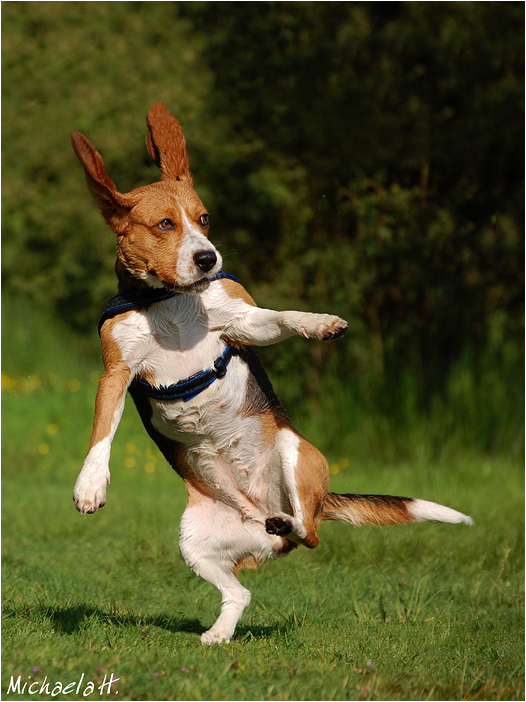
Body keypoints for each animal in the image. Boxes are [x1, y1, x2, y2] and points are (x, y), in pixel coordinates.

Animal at [71, 102, 474, 648]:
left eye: (204, 219)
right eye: (163, 224)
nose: (208, 257)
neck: (168, 300)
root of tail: (256, 509)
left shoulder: (242, 323)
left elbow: (280, 317)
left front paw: (319, 323)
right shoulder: (117, 372)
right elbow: (101, 433)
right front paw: (91, 485)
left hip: (295, 453)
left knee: (312, 536)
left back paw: (288, 523)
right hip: (194, 542)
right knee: (242, 590)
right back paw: (221, 629)